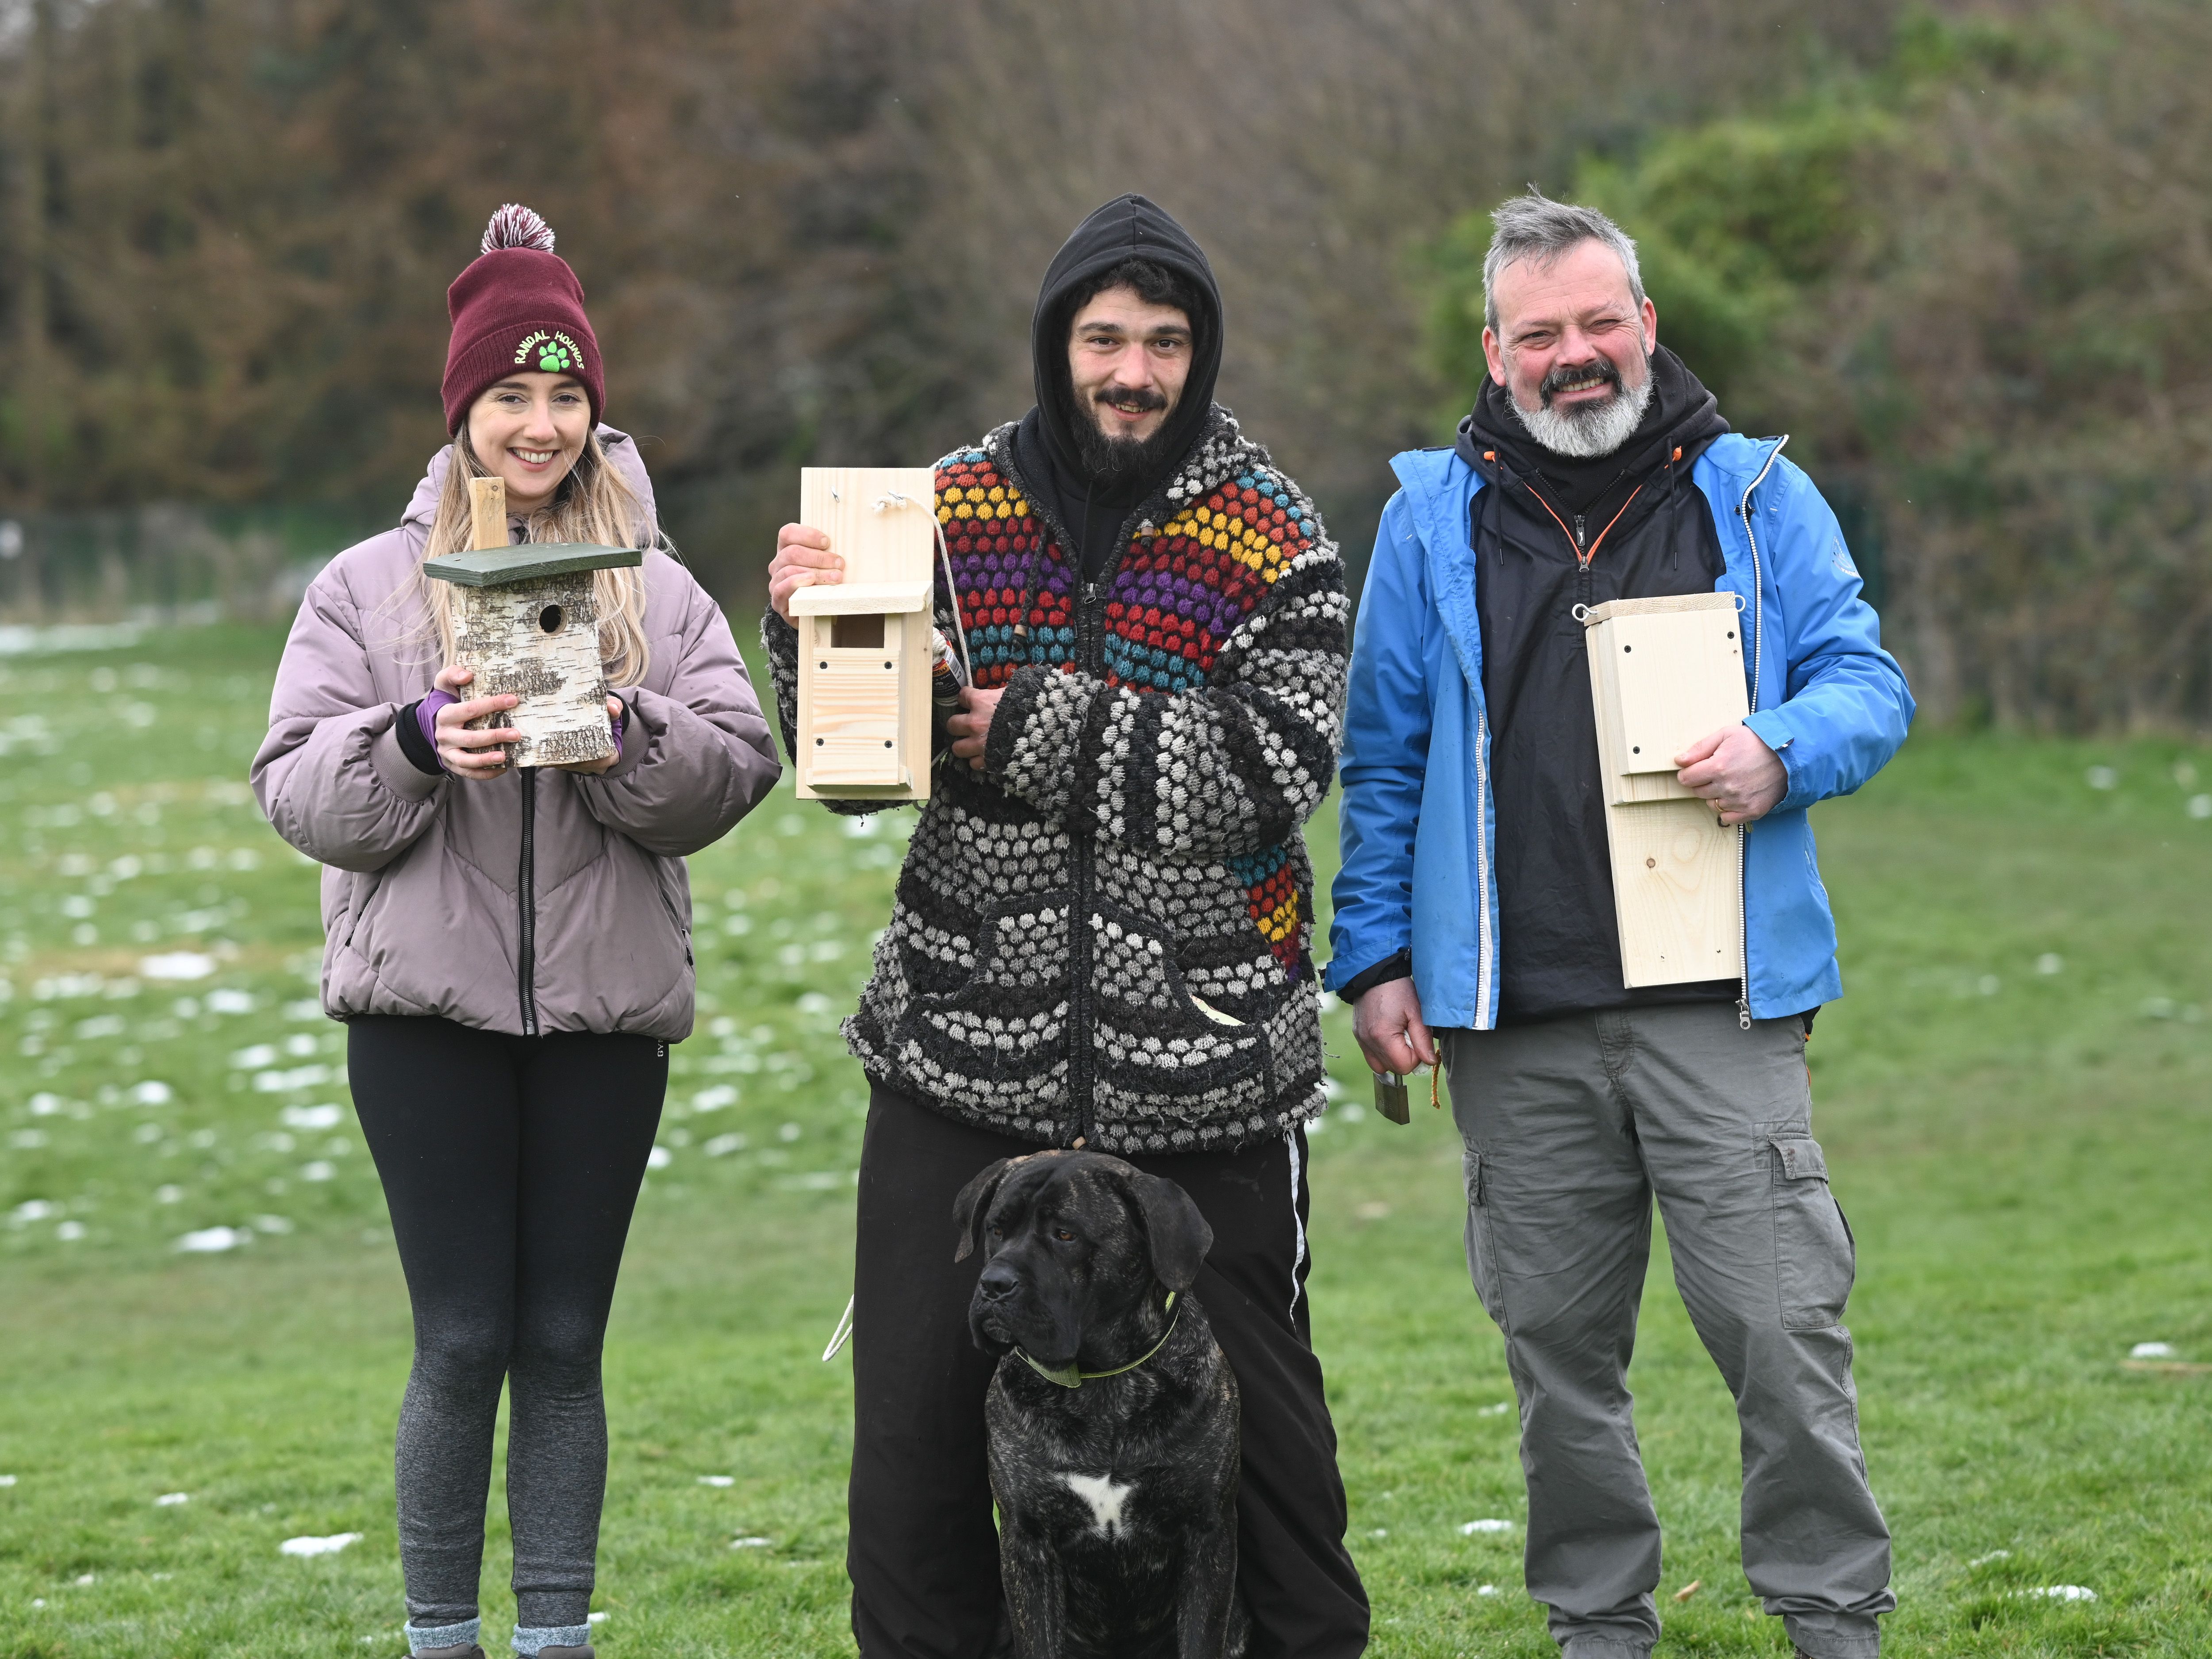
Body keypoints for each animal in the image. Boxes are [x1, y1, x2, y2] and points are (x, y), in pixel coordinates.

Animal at [956, 1159, 1256, 1659]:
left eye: (1065, 1235)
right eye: (996, 1229)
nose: (994, 1285)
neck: (1100, 1381)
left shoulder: (1207, 1535)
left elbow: (1199, 1636)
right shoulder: (1028, 1543)